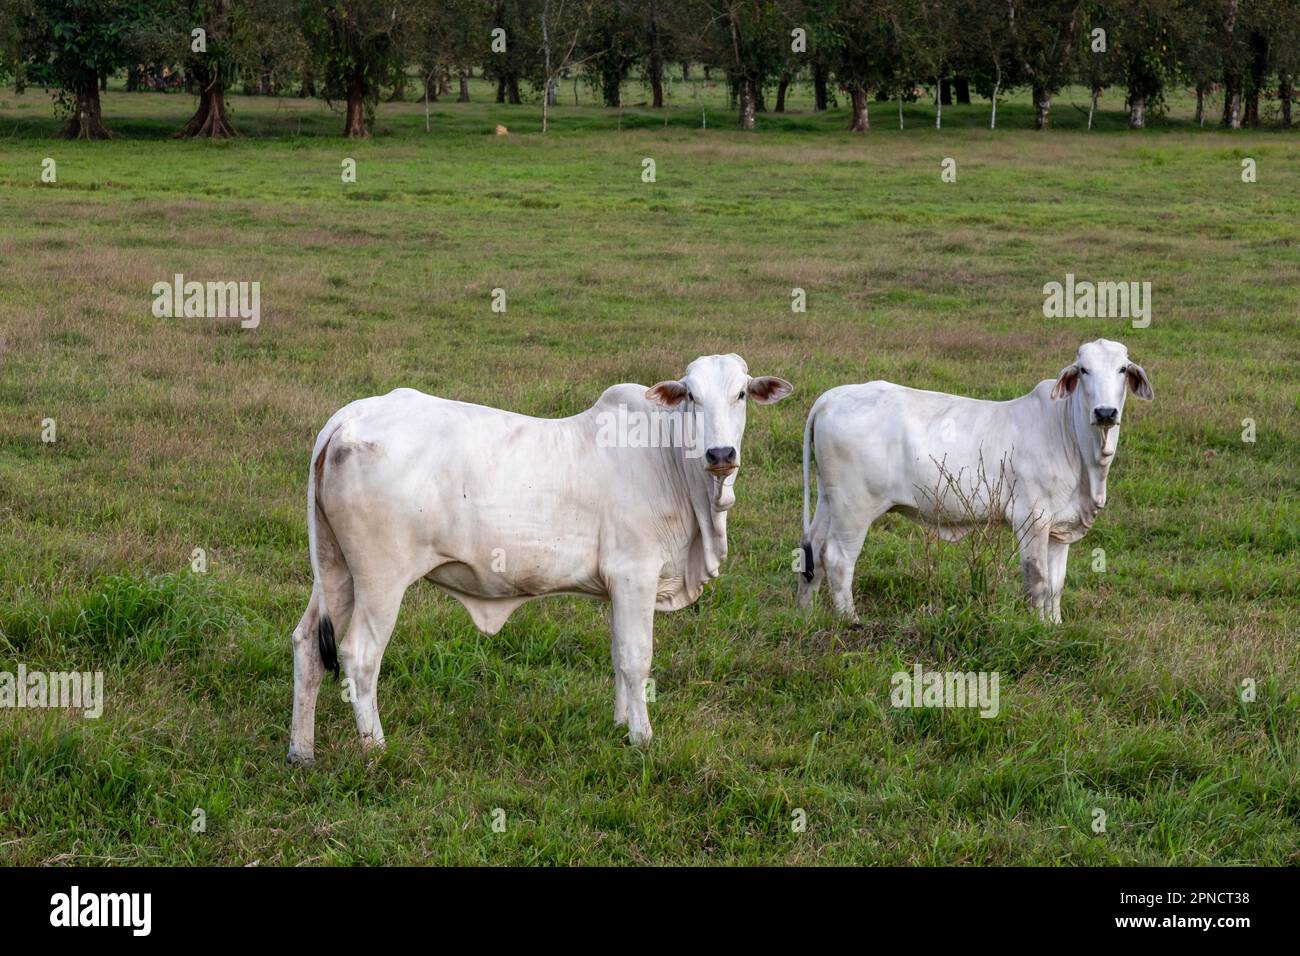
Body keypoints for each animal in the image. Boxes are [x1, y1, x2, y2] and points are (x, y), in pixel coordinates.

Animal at [287, 351, 790, 764]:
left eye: (740, 393)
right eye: (691, 397)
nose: (720, 452)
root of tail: (350, 416)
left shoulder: (618, 588)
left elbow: (616, 656)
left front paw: (619, 725)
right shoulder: (635, 575)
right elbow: (635, 659)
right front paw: (642, 738)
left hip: (335, 571)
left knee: (308, 642)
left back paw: (302, 751)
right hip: (381, 580)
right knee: (360, 656)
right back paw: (376, 749)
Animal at [795, 340, 1154, 624]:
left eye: (1122, 369)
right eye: (1083, 370)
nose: (1105, 412)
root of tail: (832, 397)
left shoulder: (1060, 528)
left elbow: (1056, 585)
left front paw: (1054, 627)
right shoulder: (1031, 519)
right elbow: (1037, 581)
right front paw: (1037, 628)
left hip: (829, 501)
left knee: (813, 554)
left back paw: (806, 616)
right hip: (853, 507)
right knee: (838, 559)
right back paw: (851, 621)